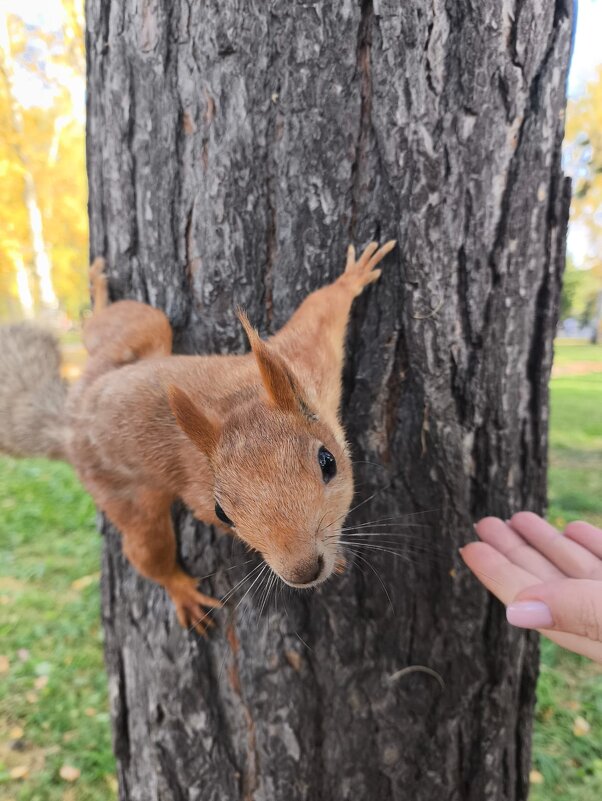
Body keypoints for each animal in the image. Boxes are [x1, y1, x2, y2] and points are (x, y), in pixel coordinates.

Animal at [0, 241, 396, 628]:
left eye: (328, 463)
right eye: (223, 513)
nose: (302, 572)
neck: (237, 403)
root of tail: (71, 419)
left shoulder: (306, 362)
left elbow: (320, 309)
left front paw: (352, 276)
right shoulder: (198, 493)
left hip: (136, 336)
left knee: (107, 332)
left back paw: (97, 293)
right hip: (119, 492)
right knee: (144, 550)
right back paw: (180, 590)